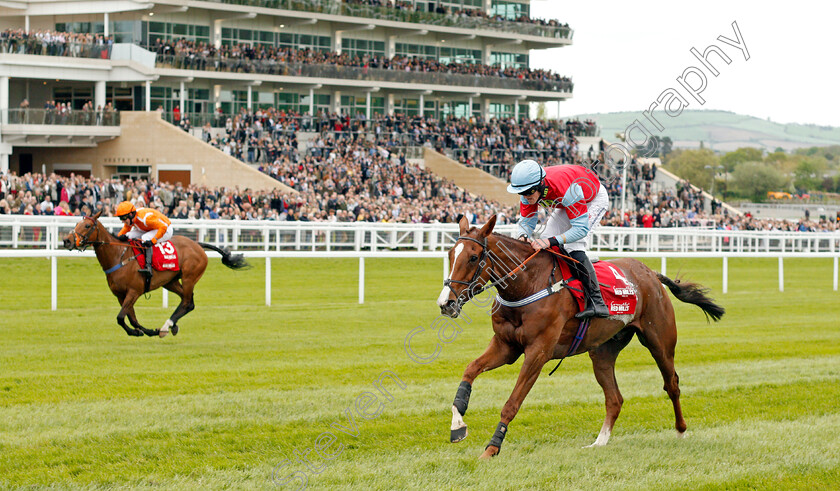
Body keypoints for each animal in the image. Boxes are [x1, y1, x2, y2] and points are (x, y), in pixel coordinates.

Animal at [62, 209, 248, 340]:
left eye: (87, 226)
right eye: (76, 224)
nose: (67, 241)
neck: (118, 256)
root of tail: (197, 244)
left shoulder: (134, 292)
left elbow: (121, 317)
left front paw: (141, 332)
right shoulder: (121, 295)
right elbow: (131, 318)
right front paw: (145, 331)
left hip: (189, 277)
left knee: (187, 302)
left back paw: (166, 326)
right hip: (171, 281)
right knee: (188, 301)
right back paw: (171, 326)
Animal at [440, 217, 720, 460]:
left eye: (473, 257)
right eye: (451, 255)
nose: (446, 303)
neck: (528, 284)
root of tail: (650, 272)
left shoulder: (538, 352)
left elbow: (512, 402)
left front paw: (492, 448)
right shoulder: (505, 346)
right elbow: (470, 370)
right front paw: (457, 424)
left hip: (659, 340)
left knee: (671, 384)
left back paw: (681, 430)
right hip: (603, 351)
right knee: (615, 398)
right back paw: (599, 442)